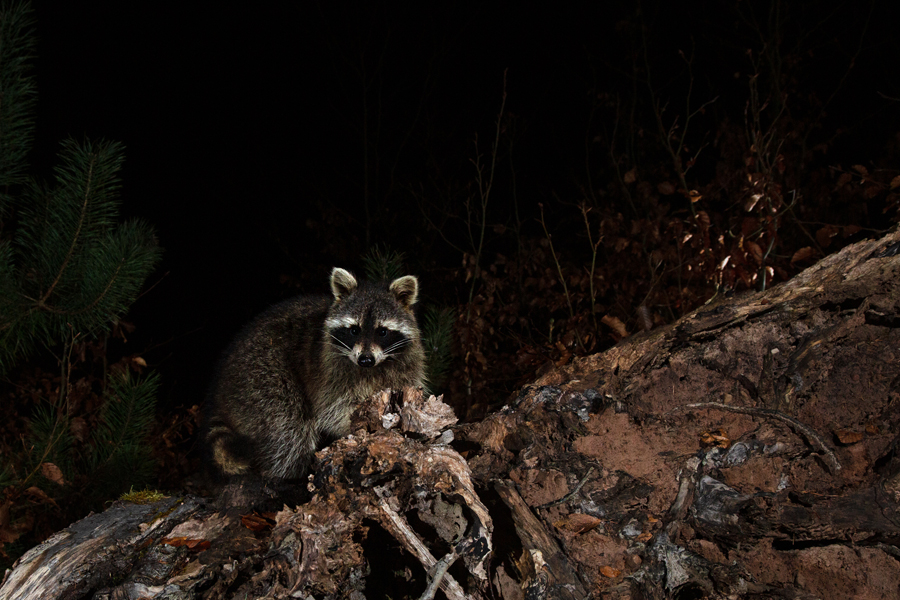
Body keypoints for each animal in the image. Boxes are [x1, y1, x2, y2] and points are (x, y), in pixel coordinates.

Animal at [203, 266, 426, 478]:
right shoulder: (330, 374)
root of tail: (219, 390)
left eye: (382, 332)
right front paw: (356, 430)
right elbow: (333, 411)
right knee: (288, 428)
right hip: (261, 376)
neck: (373, 368)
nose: (365, 360)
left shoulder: (405, 366)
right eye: (354, 330)